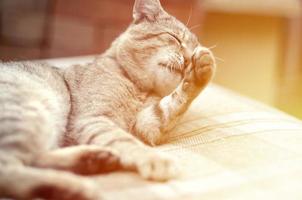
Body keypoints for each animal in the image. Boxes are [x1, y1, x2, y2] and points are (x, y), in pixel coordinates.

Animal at [0, 0, 215, 200]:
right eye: (175, 38)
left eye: (193, 49)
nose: (188, 59)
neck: (141, 89)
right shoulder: (94, 119)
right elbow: (126, 141)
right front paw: (155, 159)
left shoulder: (146, 125)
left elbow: (173, 103)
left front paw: (201, 69)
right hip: (29, 111)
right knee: (10, 170)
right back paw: (73, 185)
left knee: (32, 160)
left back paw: (92, 160)